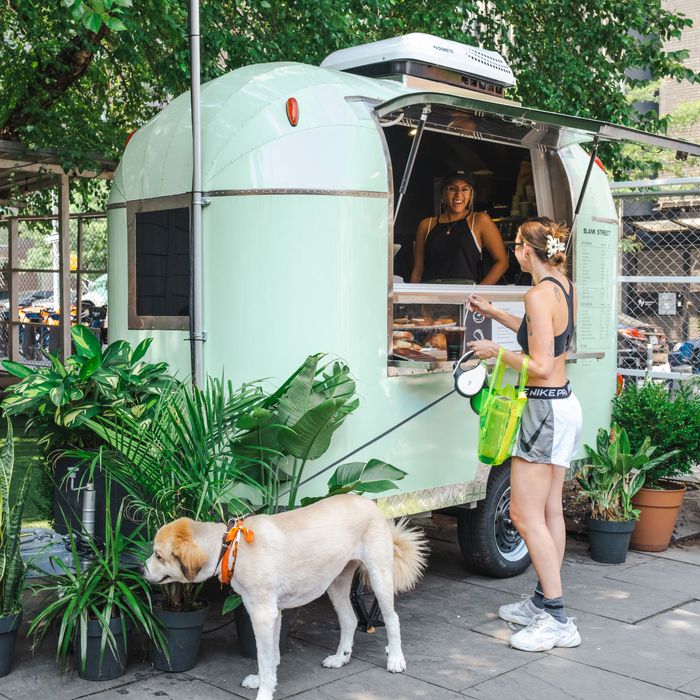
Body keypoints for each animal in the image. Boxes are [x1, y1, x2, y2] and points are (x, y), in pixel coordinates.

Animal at [144, 492, 426, 700]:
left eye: (158, 555)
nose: (141, 569)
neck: (232, 548)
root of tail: (370, 502)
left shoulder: (262, 614)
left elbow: (263, 656)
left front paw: (264, 691)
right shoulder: (273, 612)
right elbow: (270, 657)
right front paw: (263, 680)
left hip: (379, 576)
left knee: (392, 619)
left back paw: (396, 659)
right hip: (336, 582)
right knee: (349, 620)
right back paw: (340, 658)